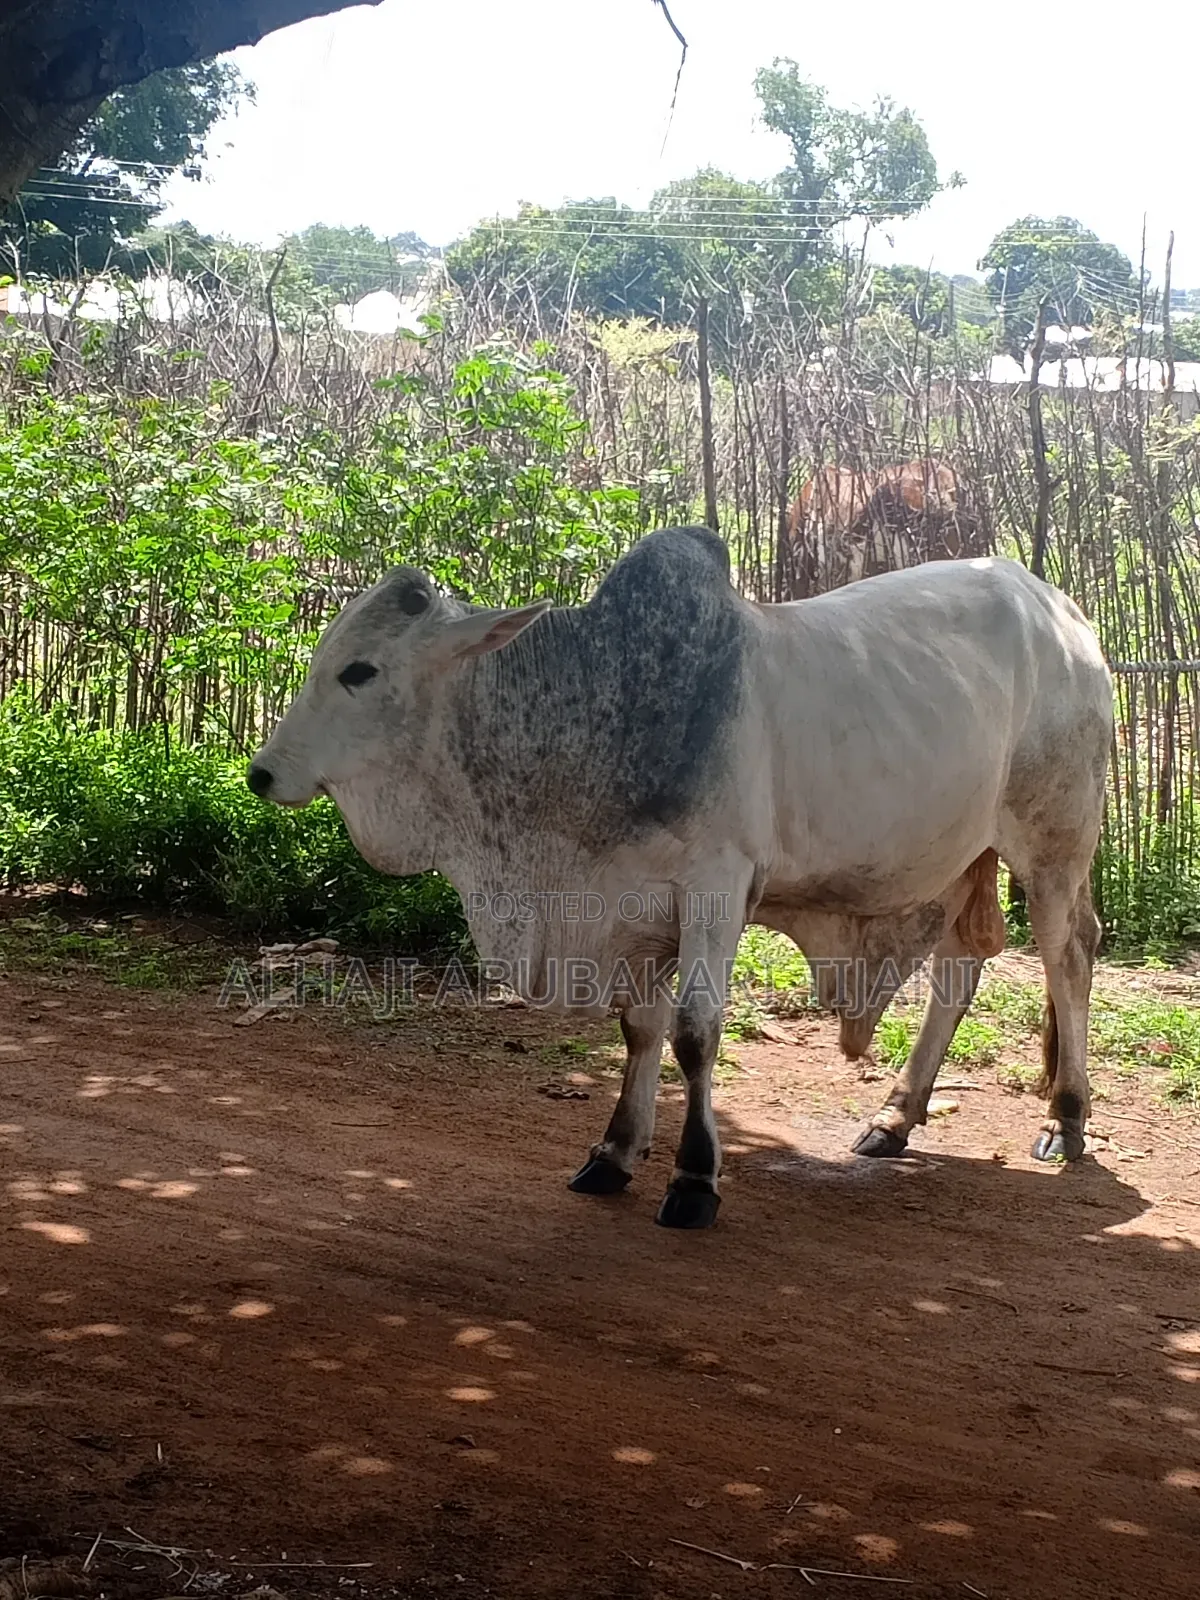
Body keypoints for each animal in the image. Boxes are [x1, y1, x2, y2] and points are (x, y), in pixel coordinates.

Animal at [247, 525, 1112, 1230]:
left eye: (360, 671)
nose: (262, 773)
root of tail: (1062, 611)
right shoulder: (630, 905)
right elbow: (641, 1029)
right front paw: (614, 1153)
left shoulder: (716, 887)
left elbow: (695, 1033)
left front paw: (695, 1179)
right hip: (965, 858)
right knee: (960, 966)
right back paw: (895, 1117)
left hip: (1053, 845)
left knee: (1068, 955)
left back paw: (1066, 1118)